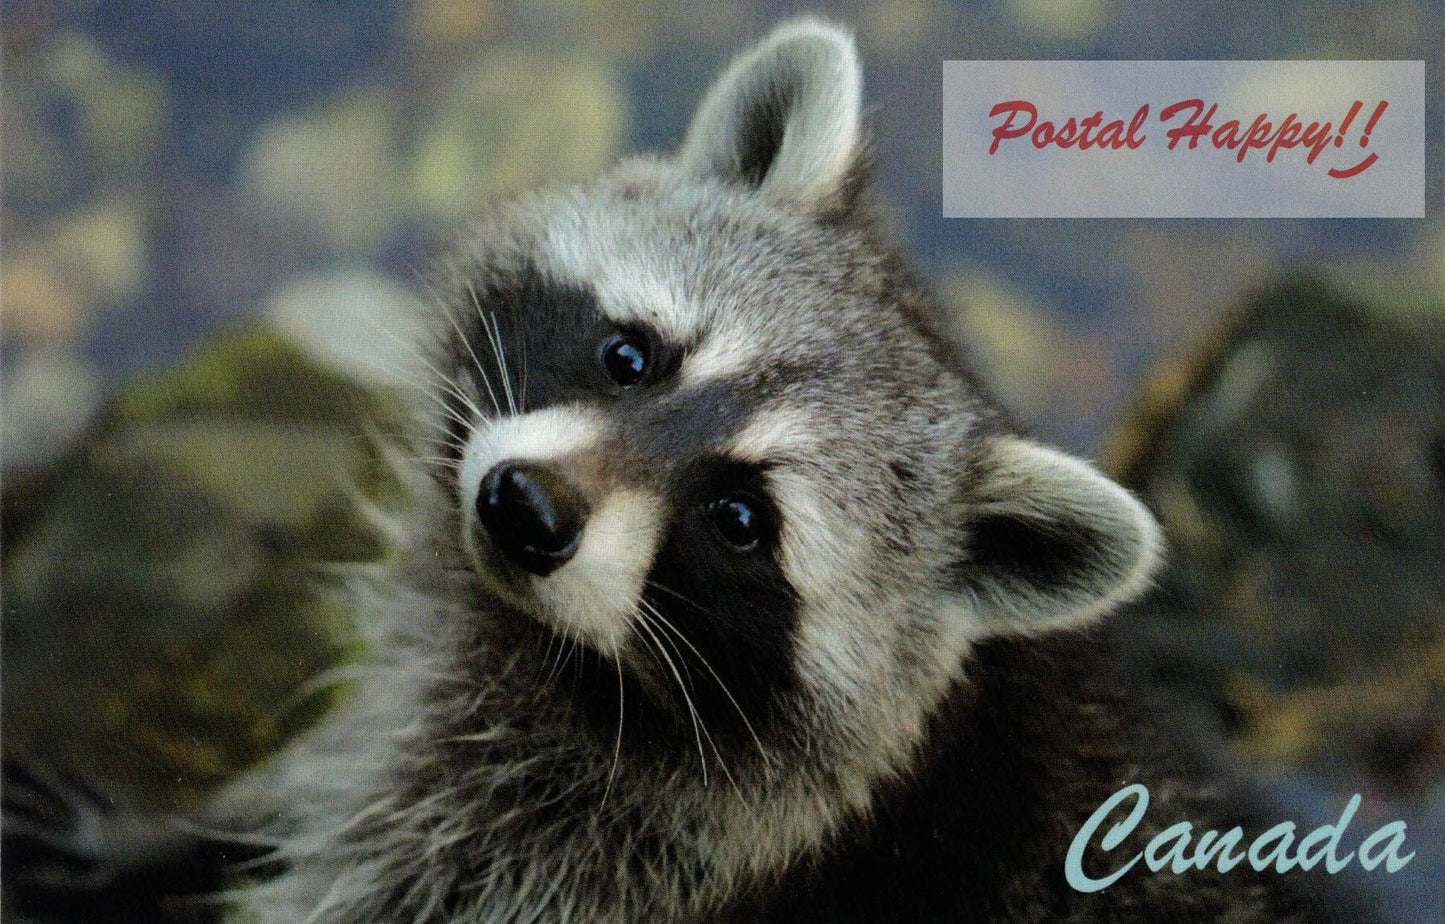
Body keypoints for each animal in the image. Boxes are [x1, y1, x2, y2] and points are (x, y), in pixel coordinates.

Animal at [5, 19, 1356, 924]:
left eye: (739, 517)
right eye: (629, 355)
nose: (522, 510)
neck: (543, 654)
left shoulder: (560, 862)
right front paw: (177, 829)